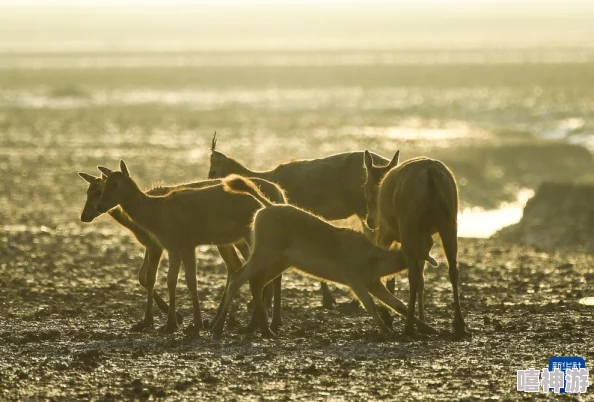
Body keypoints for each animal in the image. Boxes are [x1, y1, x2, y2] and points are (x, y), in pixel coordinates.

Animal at [90, 162, 286, 334]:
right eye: (103, 185)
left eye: (114, 184)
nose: (99, 206)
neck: (157, 214)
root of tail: (263, 201)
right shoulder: (173, 247)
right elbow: (171, 281)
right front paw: (170, 325)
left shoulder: (186, 244)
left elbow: (191, 281)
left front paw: (194, 324)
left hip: (249, 237)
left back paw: (254, 325)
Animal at [209, 176, 440, 340]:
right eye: (422, 244)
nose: (426, 264)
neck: (372, 258)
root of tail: (266, 207)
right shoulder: (355, 280)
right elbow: (370, 305)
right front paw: (386, 331)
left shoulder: (374, 283)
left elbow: (398, 304)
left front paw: (431, 329)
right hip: (264, 253)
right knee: (238, 276)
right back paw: (217, 330)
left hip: (280, 261)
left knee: (256, 282)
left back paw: (267, 331)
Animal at [360, 152, 468, 338]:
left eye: (366, 186)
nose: (370, 221)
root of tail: (432, 171)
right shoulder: (424, 240)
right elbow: (422, 279)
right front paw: (423, 321)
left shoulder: (386, 234)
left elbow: (388, 276)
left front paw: (388, 317)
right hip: (449, 221)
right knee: (452, 269)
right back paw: (459, 324)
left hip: (407, 225)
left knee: (413, 273)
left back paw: (409, 326)